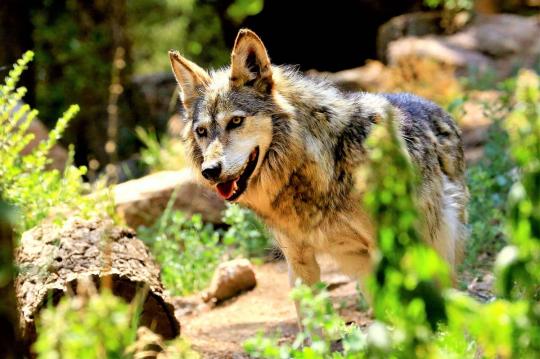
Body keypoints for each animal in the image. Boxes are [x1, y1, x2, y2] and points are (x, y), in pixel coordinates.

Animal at [169, 30, 468, 316]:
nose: (210, 171)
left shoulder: (386, 250)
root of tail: (434, 106)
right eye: (202, 131)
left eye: (236, 121)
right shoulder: (299, 260)